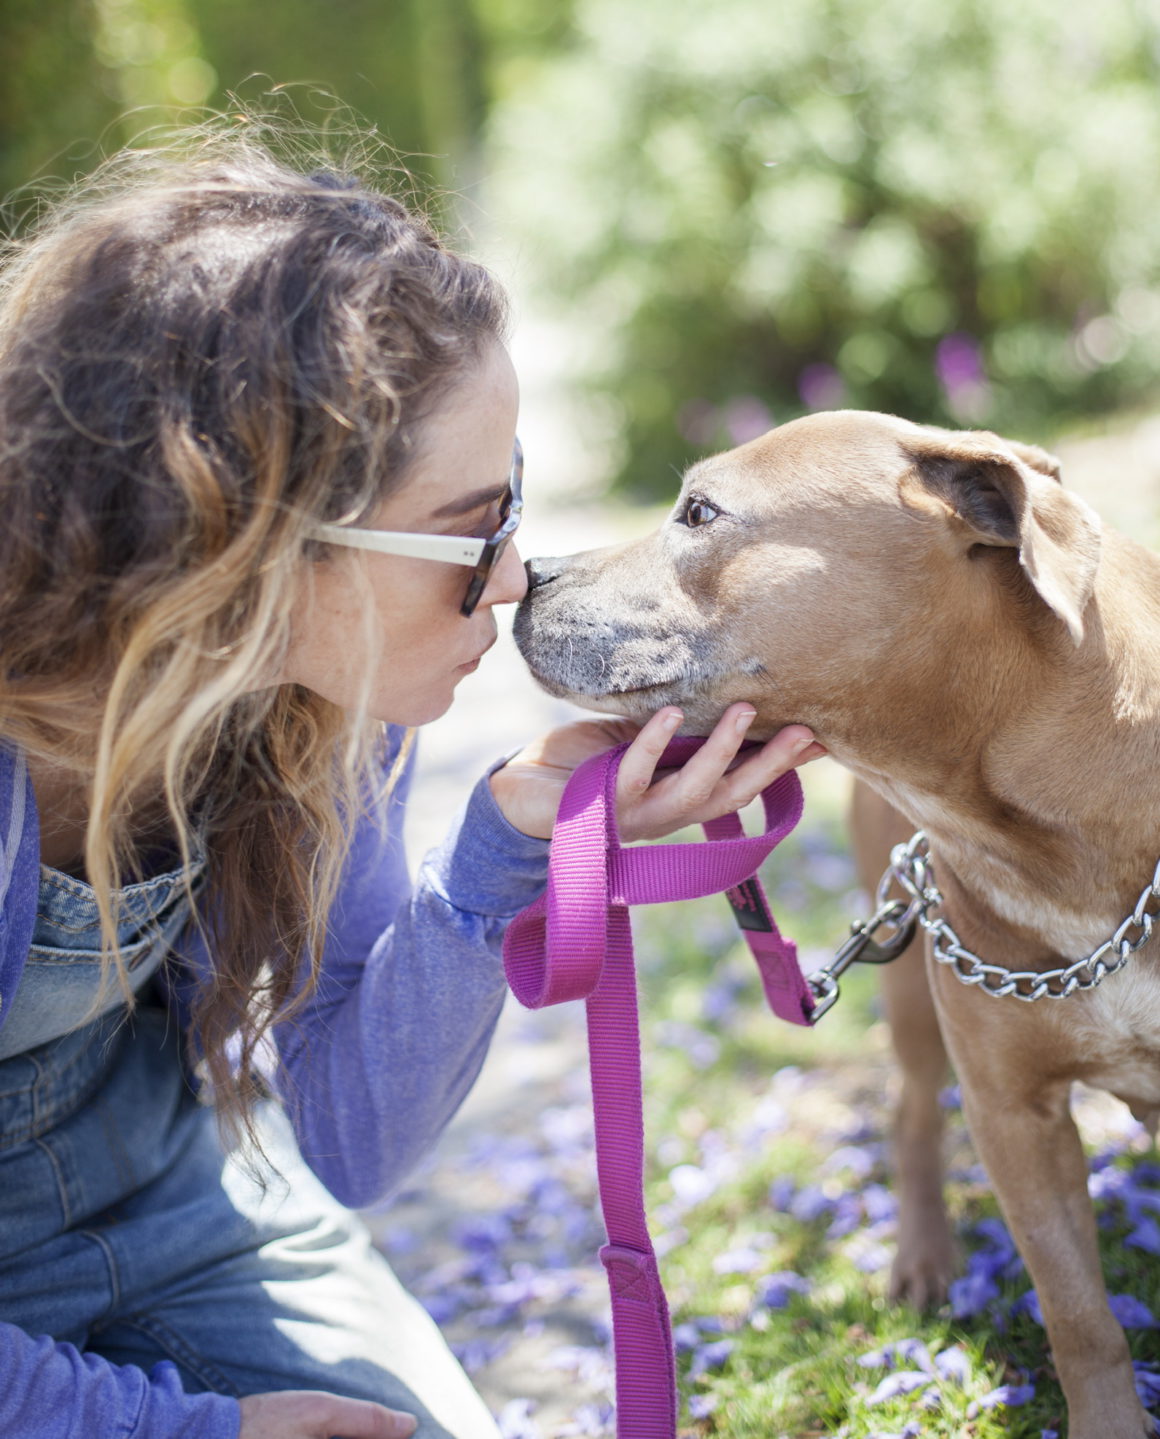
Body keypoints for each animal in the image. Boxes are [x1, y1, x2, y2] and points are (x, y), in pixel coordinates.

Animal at [515, 411, 1160, 1439]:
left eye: (699, 512)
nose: (527, 571)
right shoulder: (1014, 1116)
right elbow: (1080, 1318)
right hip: (909, 986)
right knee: (909, 1111)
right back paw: (927, 1260)